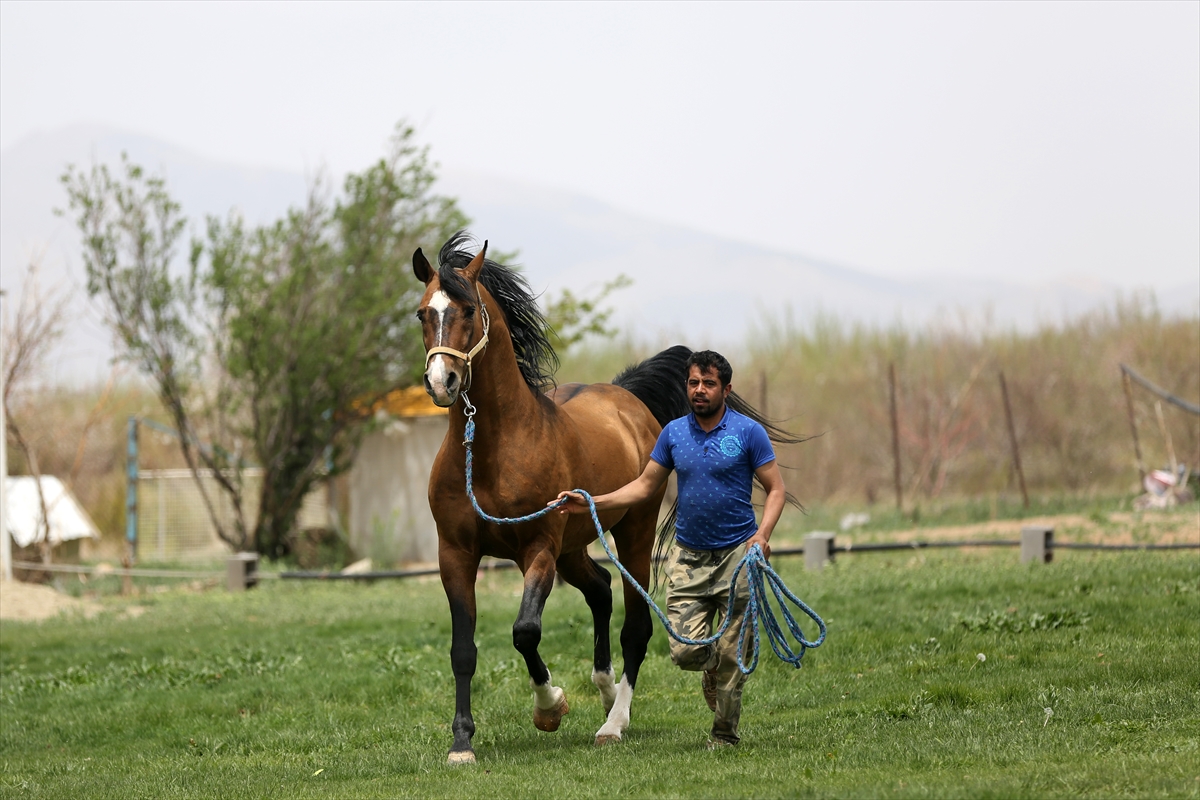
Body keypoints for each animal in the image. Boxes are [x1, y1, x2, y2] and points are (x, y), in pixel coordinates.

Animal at [412, 231, 787, 762]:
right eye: (423, 313)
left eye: (467, 310)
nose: (441, 382)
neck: (492, 454)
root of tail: (626, 398)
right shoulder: (456, 554)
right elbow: (463, 650)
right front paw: (462, 742)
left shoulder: (538, 549)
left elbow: (525, 632)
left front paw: (550, 707)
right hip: (574, 546)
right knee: (601, 591)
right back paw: (607, 691)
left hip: (630, 534)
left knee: (636, 627)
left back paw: (616, 720)